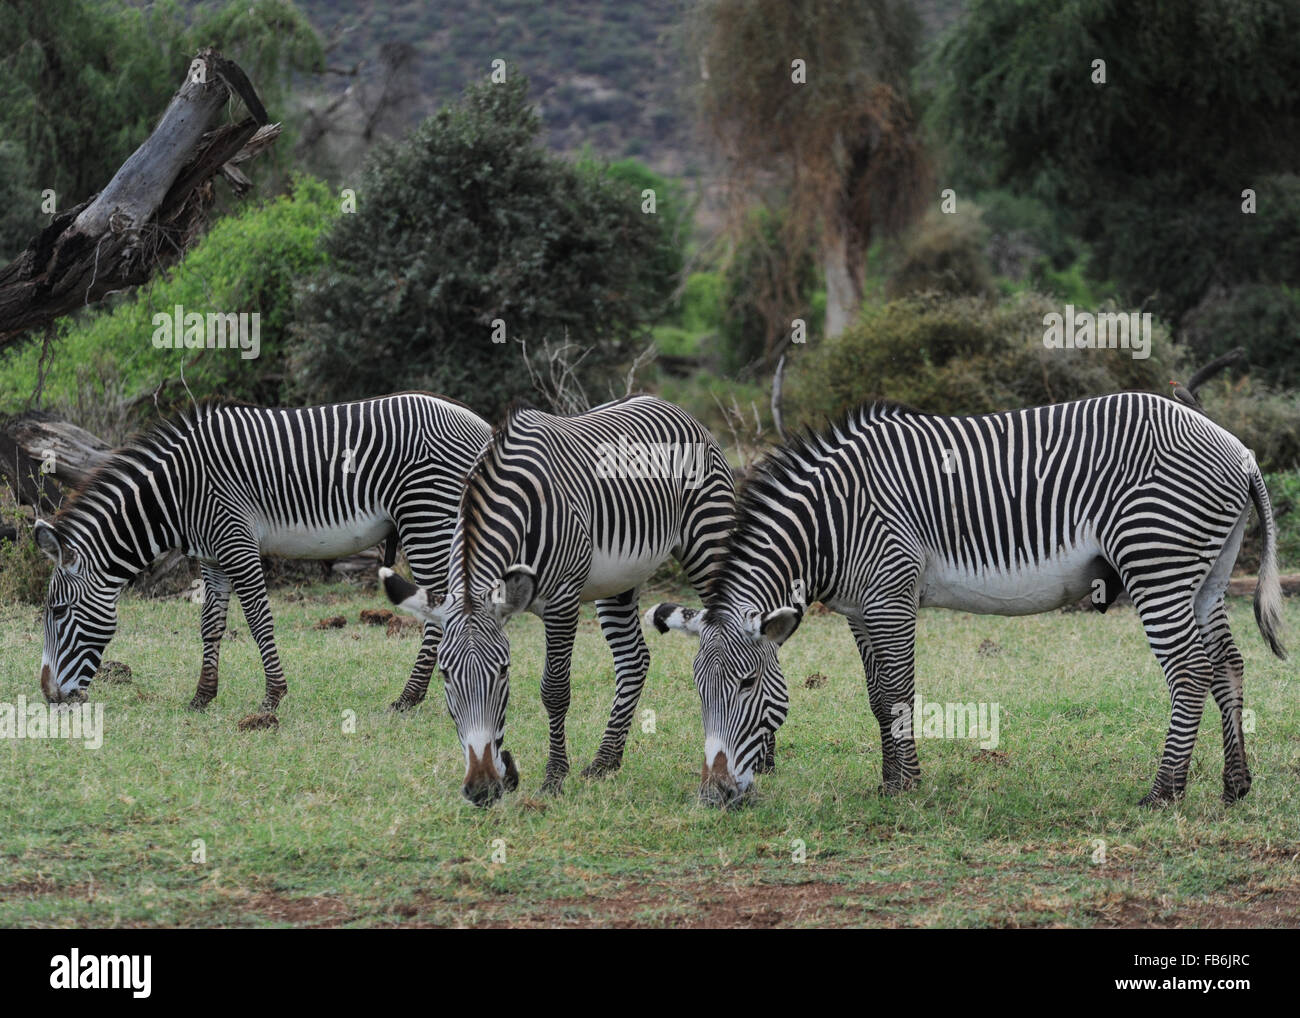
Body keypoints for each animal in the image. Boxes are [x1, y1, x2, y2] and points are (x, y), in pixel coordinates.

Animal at [36, 395, 491, 712]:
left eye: (57, 611)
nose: (49, 697)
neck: (178, 493)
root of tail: (482, 425)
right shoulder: (212, 556)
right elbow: (211, 624)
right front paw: (202, 698)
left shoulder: (236, 541)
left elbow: (258, 620)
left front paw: (273, 697)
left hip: (426, 516)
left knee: (441, 603)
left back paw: (409, 697)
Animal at [379, 395, 738, 806]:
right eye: (444, 674)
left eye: (503, 671)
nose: (482, 790)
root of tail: (672, 406)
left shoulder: (563, 598)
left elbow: (554, 690)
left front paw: (554, 777)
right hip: (619, 579)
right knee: (634, 660)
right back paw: (605, 761)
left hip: (708, 541)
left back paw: (763, 760)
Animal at [650, 395, 1289, 806]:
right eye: (695, 689)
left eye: (747, 685)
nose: (715, 796)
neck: (830, 522)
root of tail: (1238, 448)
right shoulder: (860, 609)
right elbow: (877, 698)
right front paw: (888, 782)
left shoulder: (890, 594)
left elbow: (898, 692)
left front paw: (907, 788)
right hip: (1206, 575)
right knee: (1226, 665)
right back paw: (1235, 785)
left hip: (1157, 564)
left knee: (1190, 670)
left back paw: (1163, 794)